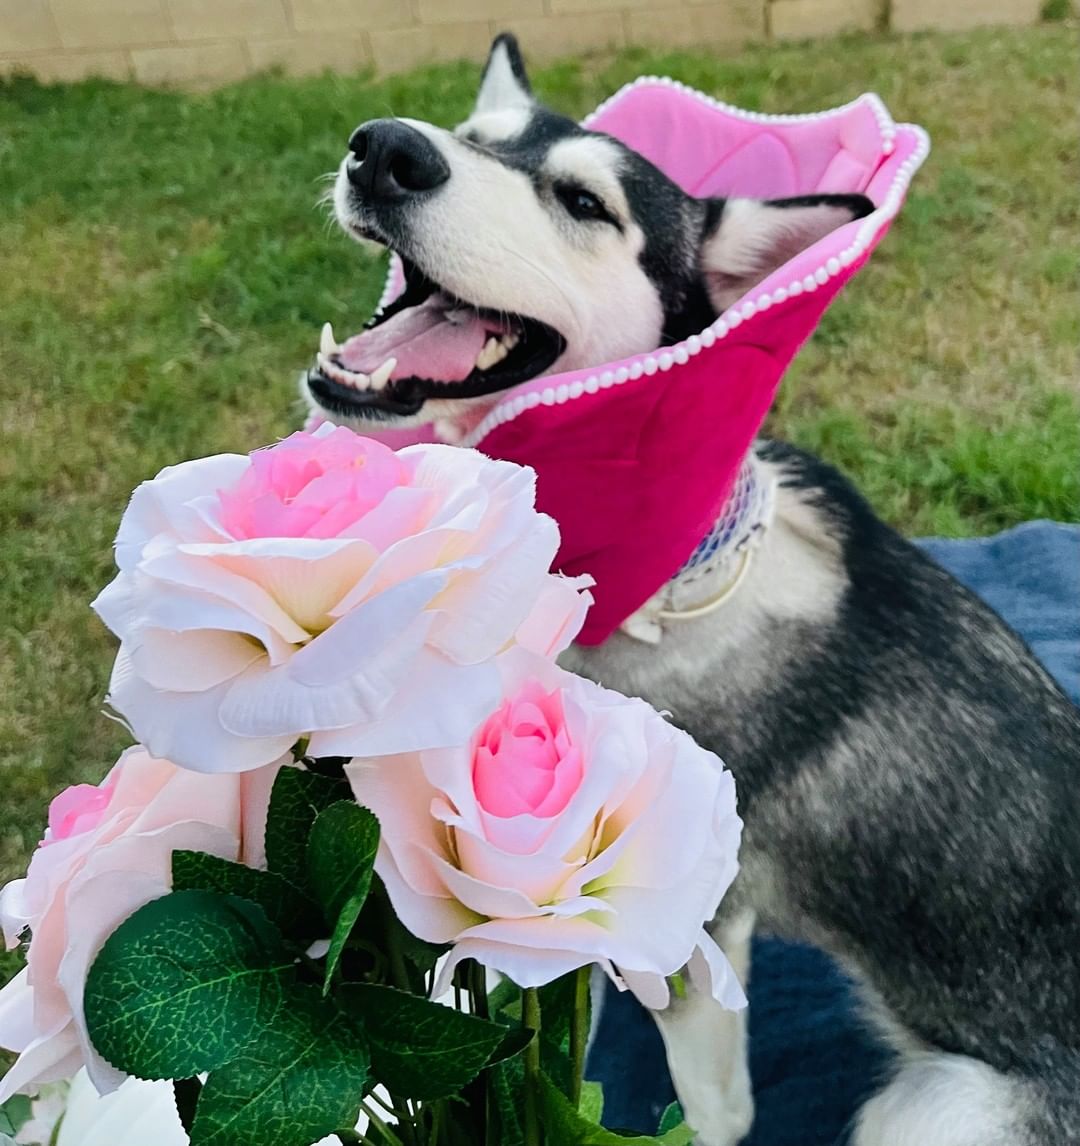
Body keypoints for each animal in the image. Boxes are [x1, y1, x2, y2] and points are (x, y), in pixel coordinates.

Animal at [302, 35, 1080, 1146]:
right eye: (471, 137)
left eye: (584, 203)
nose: (388, 150)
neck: (671, 578)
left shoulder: (692, 927)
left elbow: (706, 1107)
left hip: (935, 1104)